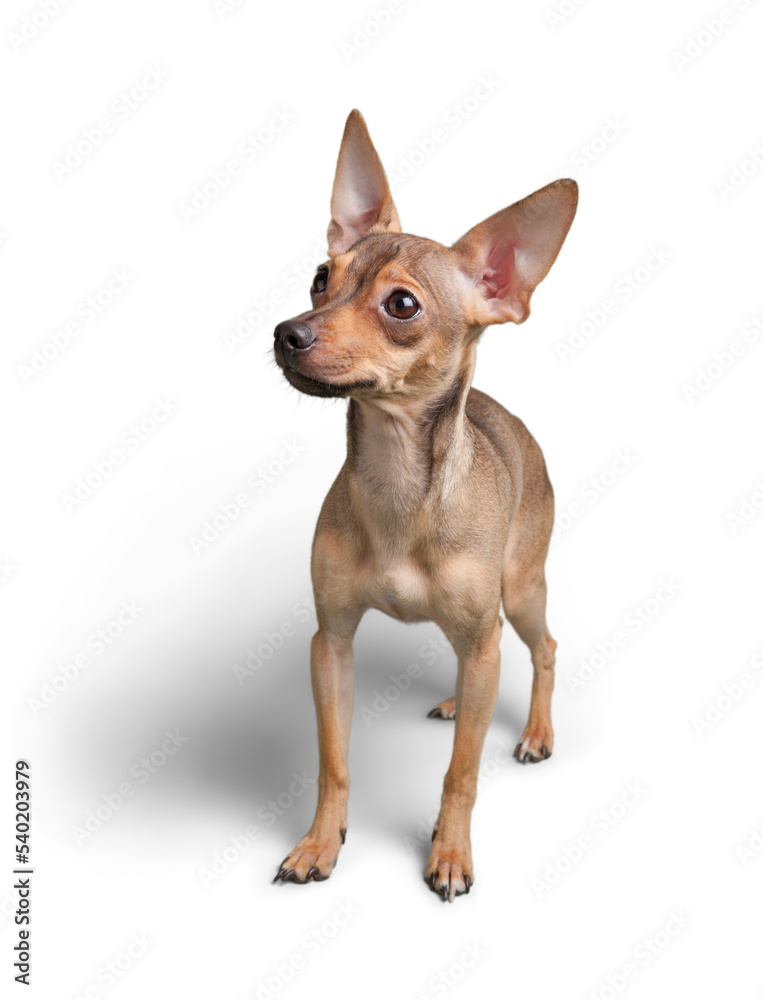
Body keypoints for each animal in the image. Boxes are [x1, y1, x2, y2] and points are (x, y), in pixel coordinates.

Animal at [272, 111, 576, 908]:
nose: (288, 331)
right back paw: (457, 705)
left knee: (542, 648)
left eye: (401, 304)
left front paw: (449, 854)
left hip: (520, 591)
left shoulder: (483, 631)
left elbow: (461, 775)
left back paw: (536, 732)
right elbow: (334, 761)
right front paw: (319, 845)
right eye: (320, 279)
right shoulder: (331, 645)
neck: (395, 484)